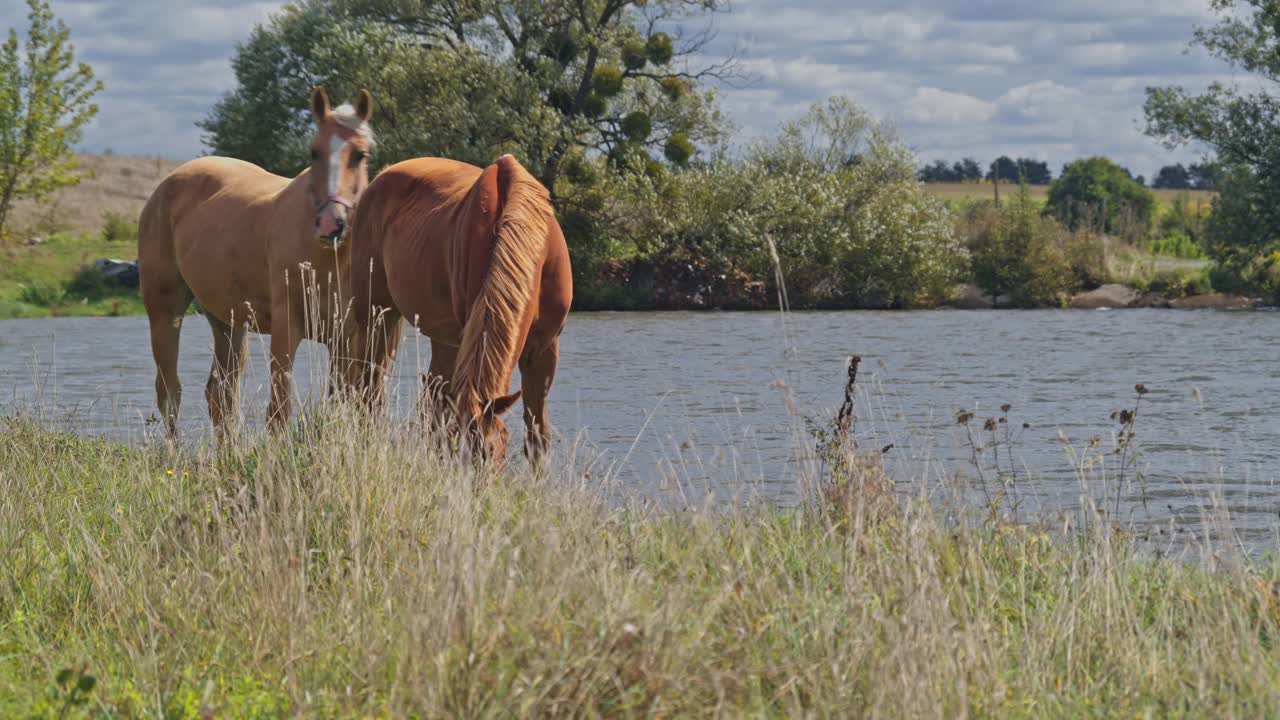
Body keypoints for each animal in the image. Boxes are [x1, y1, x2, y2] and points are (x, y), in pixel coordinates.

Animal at [139, 89, 373, 438]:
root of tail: (166, 184)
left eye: (360, 154)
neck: (329, 259)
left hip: (228, 323)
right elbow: (279, 411)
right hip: (165, 313)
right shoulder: (287, 327)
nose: (331, 224)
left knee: (221, 394)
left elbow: (343, 408)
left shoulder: (346, 337)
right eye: (314, 152)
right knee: (170, 393)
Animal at [348, 154, 573, 461]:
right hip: (374, 315)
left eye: (496, 450)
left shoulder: (544, 350)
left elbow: (537, 440)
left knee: (430, 403)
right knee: (369, 388)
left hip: (443, 339)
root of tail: (381, 176)